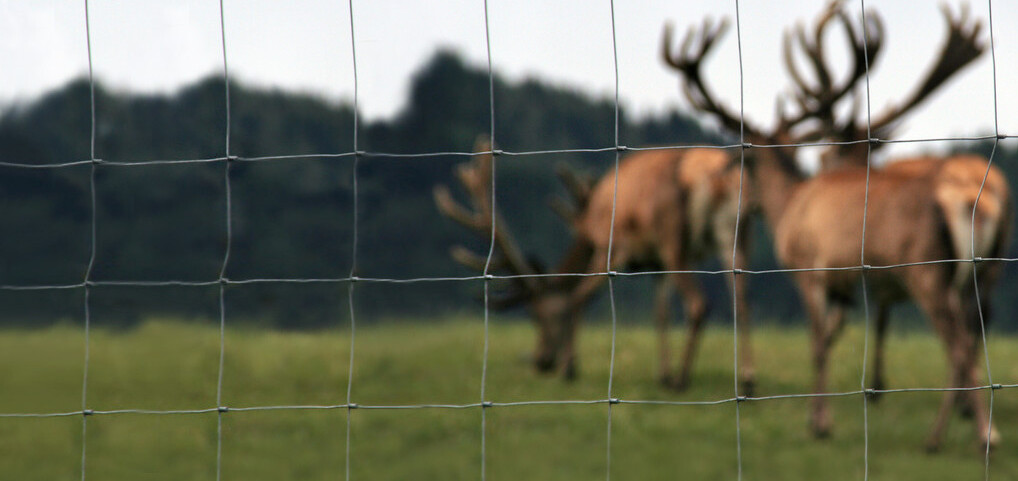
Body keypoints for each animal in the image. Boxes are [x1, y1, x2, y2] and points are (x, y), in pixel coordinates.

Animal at [667, 0, 1009, 450]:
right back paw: (960, 430)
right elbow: (830, 339)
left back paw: (970, 435)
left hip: (927, 272)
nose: (741, 200)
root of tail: (970, 200)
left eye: (745, 160)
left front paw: (820, 423)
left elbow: (816, 343)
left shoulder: (808, 268)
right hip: (978, 273)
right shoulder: (844, 286)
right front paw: (821, 414)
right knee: (972, 336)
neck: (790, 206)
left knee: (958, 345)